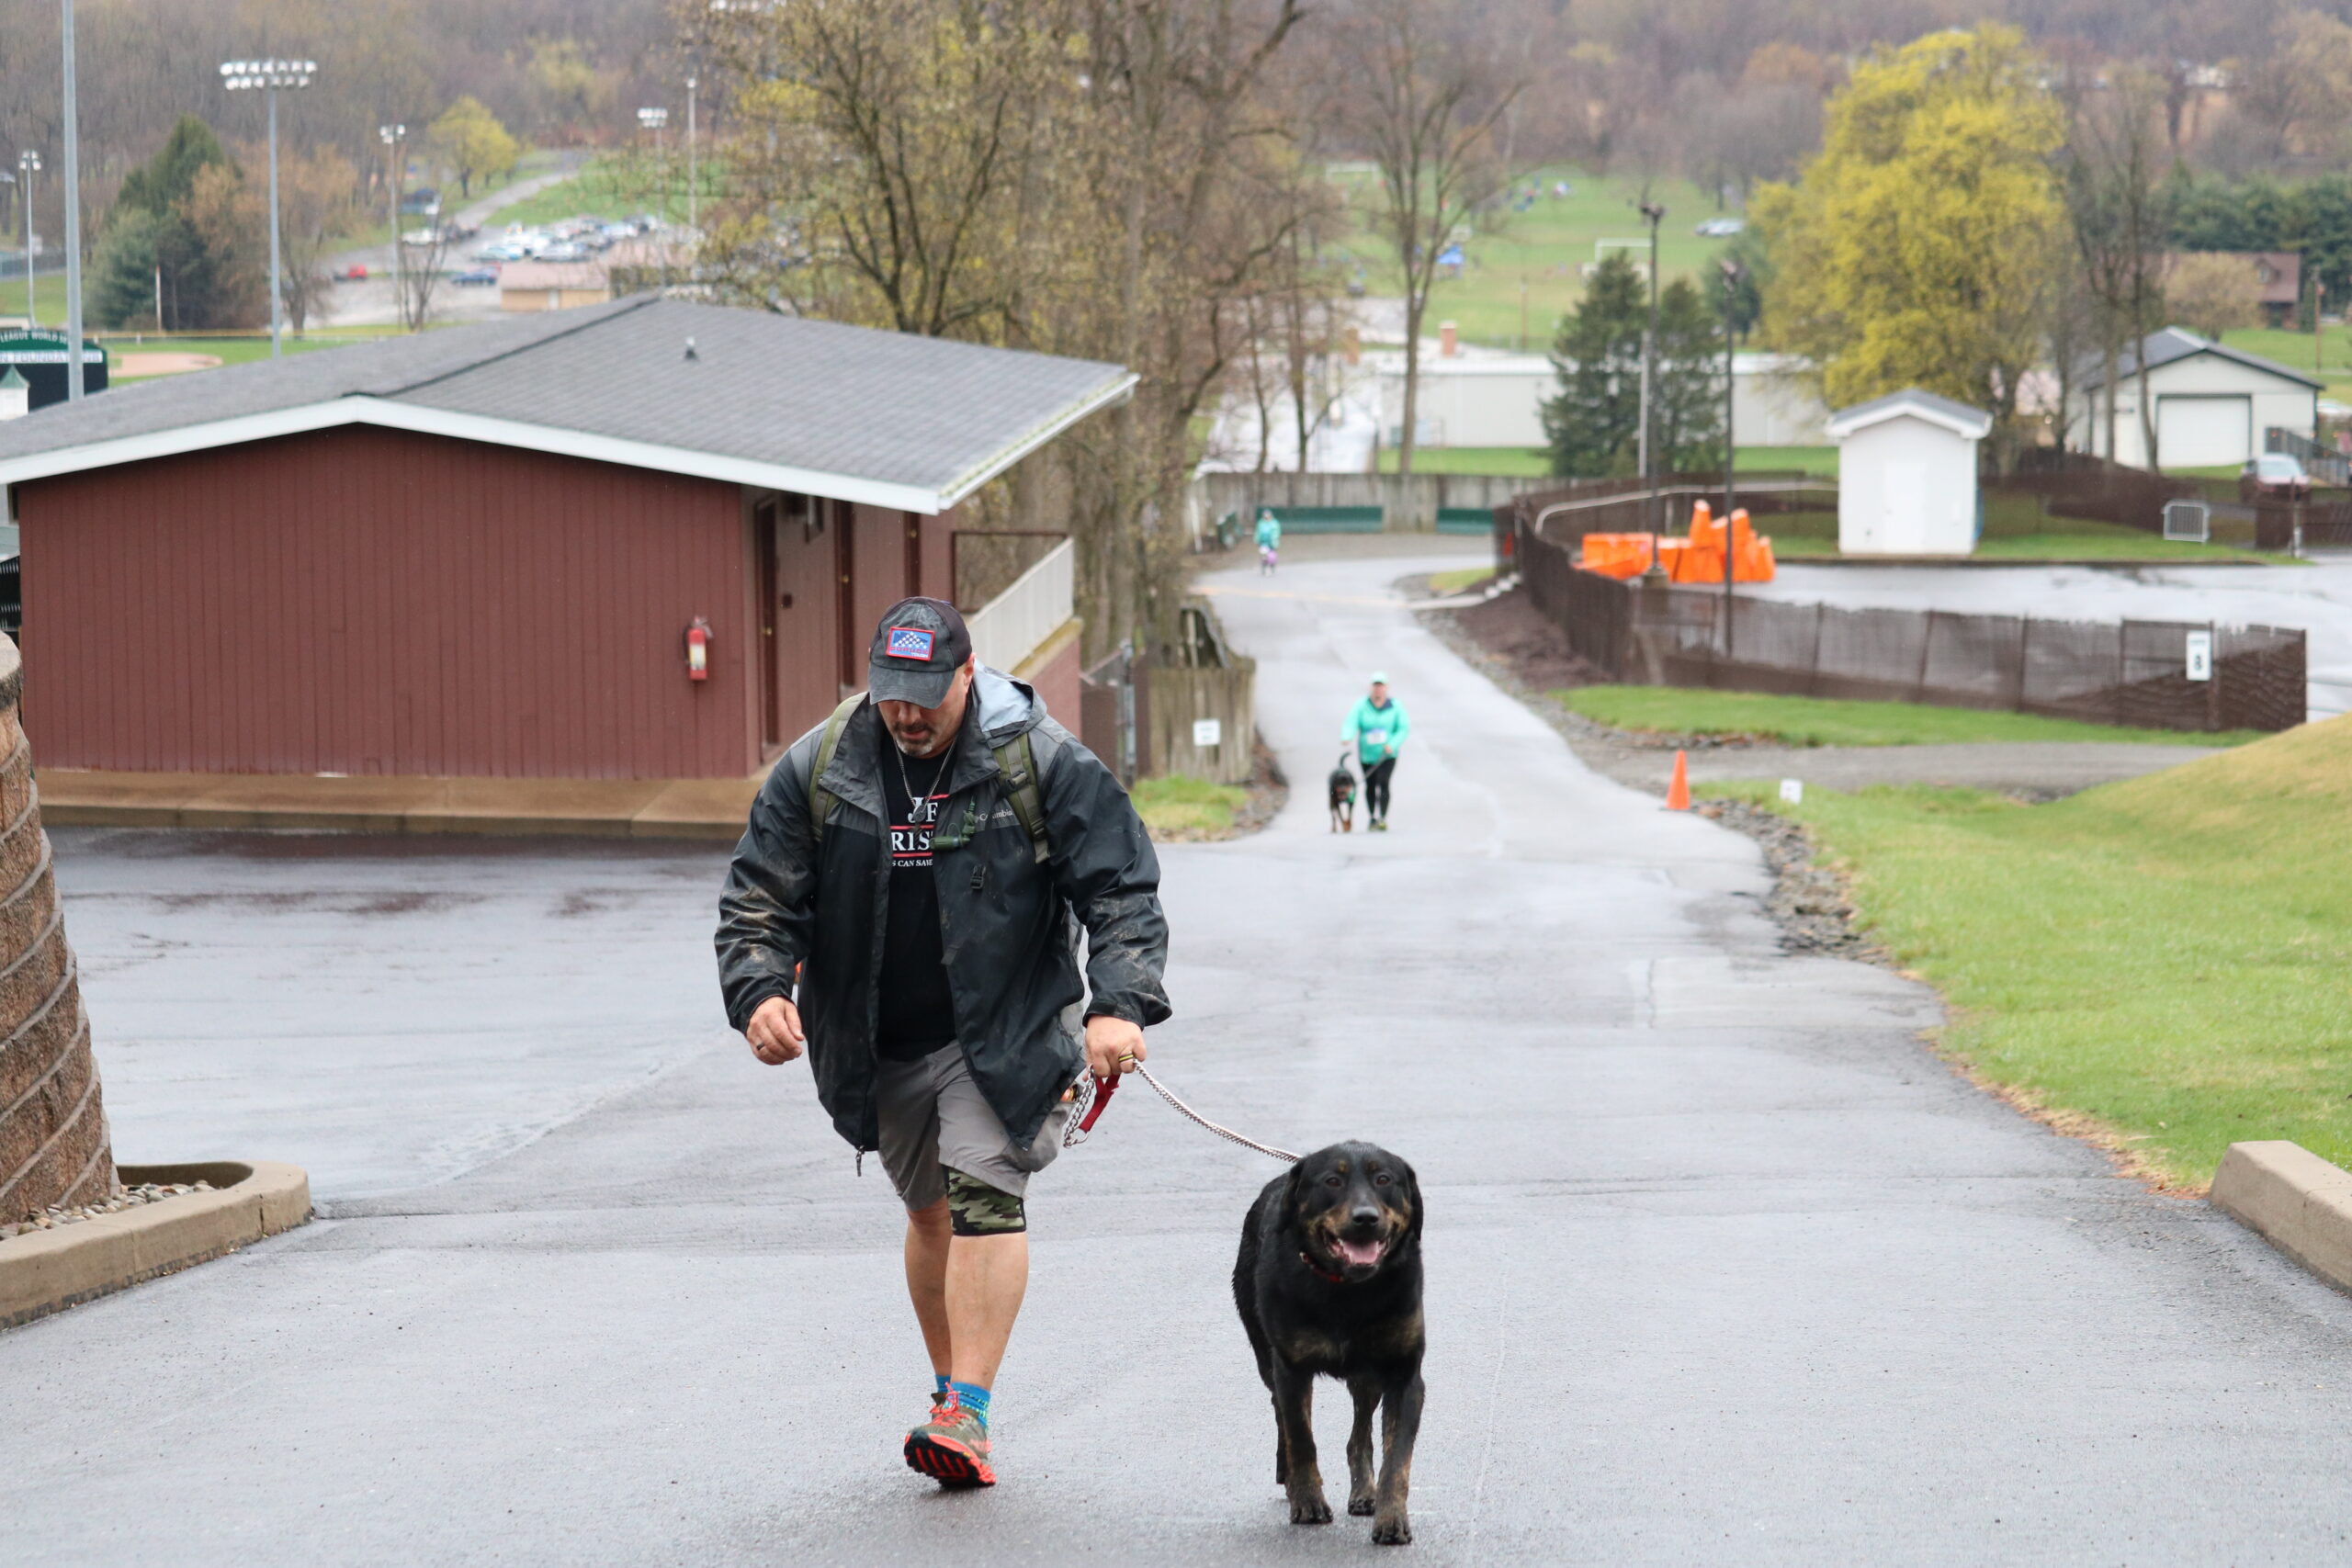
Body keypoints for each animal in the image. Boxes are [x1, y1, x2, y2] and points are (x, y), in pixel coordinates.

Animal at [1233, 1141, 1425, 1545]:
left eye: (1384, 1179)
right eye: (1332, 1181)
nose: (1366, 1218)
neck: (1347, 1291)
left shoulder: (1404, 1375)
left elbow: (1397, 1459)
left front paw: (1391, 1518)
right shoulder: (1290, 1368)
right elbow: (1301, 1438)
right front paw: (1308, 1503)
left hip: (1367, 1376)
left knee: (1359, 1435)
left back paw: (1364, 1492)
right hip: (1264, 1355)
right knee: (1280, 1413)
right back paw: (1287, 1475)